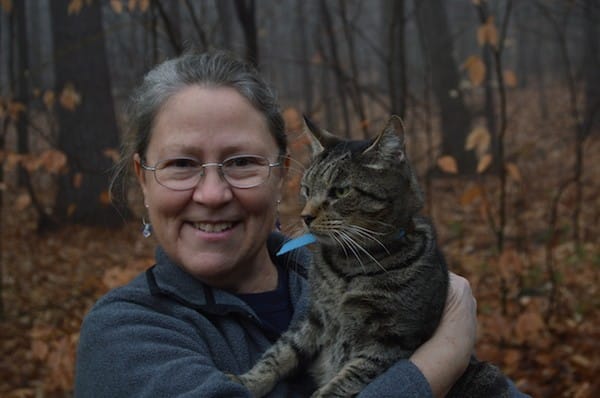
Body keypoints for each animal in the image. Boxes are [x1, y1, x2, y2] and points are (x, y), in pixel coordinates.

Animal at [232, 116, 508, 396]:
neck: (349, 266)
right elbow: (281, 353)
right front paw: (245, 381)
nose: (305, 216)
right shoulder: (315, 318)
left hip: (485, 374)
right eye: (306, 190)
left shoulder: (392, 339)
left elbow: (350, 377)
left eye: (340, 192)